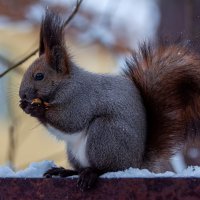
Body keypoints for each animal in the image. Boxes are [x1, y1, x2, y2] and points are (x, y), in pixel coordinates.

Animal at [19, 9, 200, 191]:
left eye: (39, 76)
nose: (22, 95)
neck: (66, 85)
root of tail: (135, 163)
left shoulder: (81, 99)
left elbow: (71, 121)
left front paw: (36, 110)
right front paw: (24, 106)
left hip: (104, 134)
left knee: (105, 168)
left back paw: (90, 174)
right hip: (76, 152)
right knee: (81, 168)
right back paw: (66, 171)